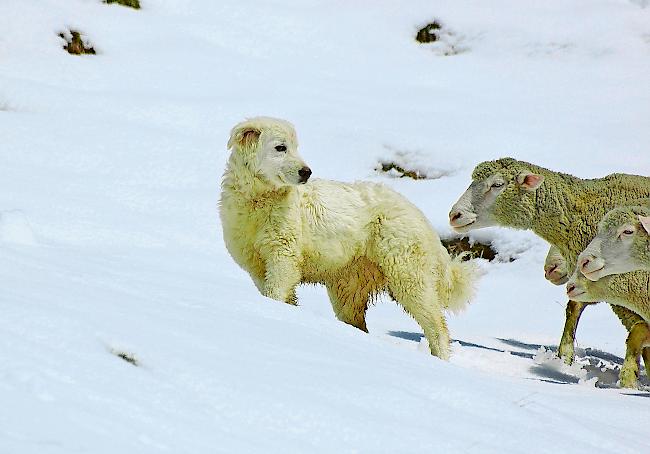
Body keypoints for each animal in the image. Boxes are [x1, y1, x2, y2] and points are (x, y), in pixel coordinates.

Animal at [218, 117, 476, 362]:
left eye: (295, 146)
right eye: (281, 147)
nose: (306, 172)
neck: (259, 201)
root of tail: (422, 218)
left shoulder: (284, 246)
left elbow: (280, 280)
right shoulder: (251, 255)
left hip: (403, 259)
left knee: (430, 313)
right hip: (351, 275)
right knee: (353, 313)